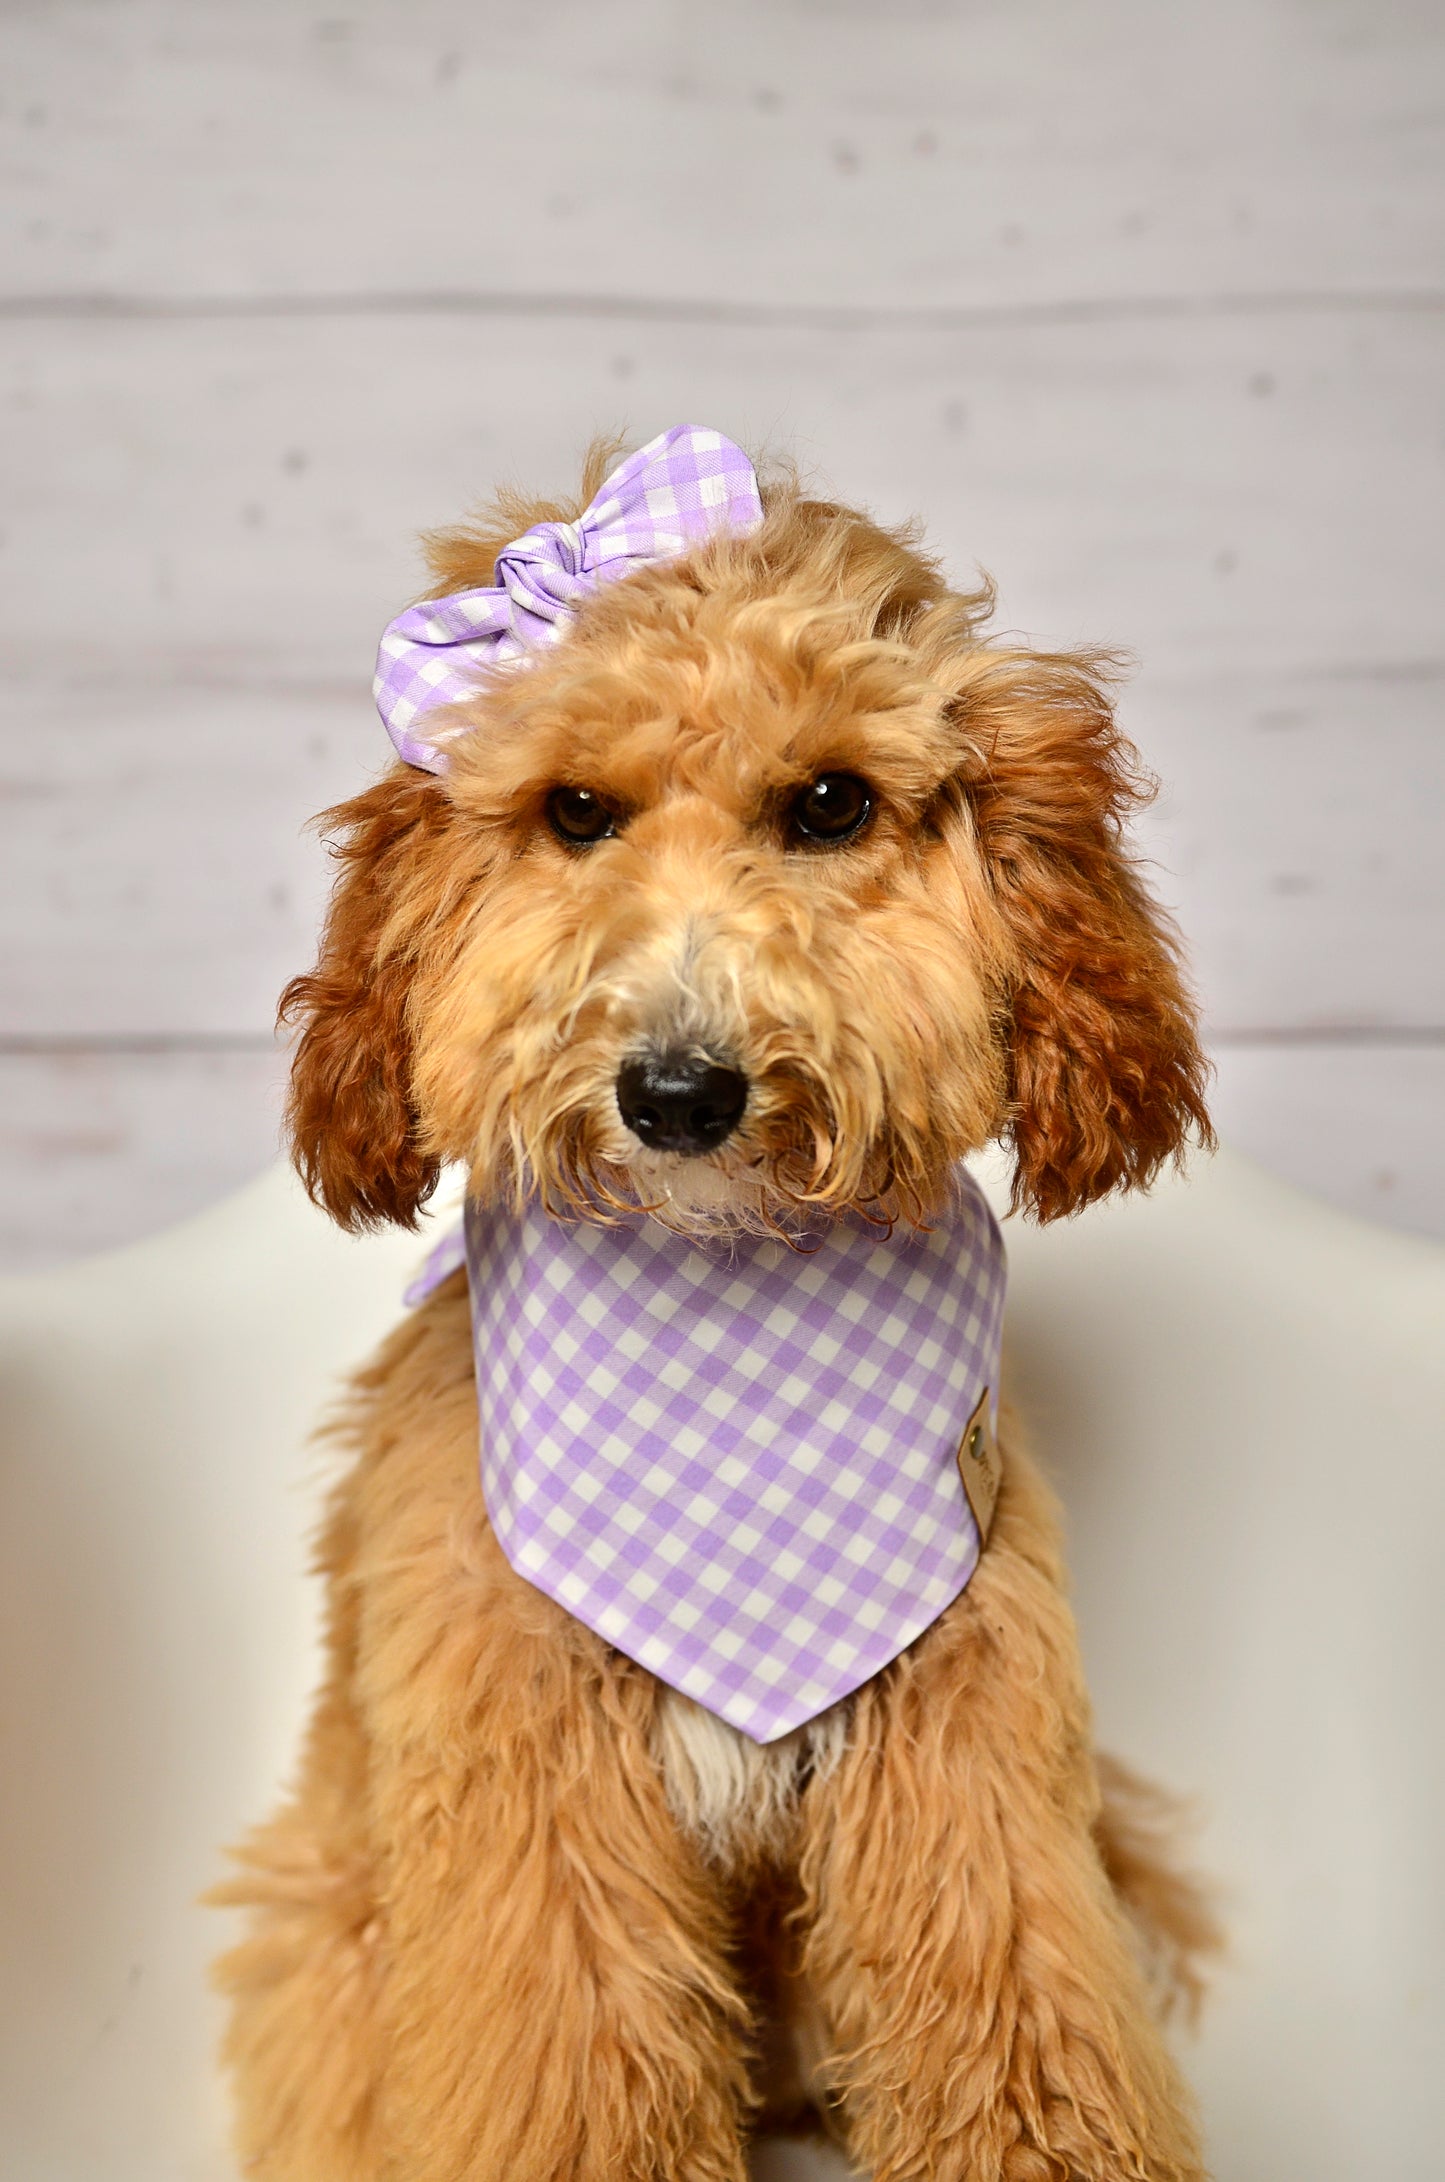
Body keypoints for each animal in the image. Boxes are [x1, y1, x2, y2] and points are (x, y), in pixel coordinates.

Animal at [215, 425, 1222, 2182]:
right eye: (574, 811)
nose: (678, 1091)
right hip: (327, 1927)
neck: (726, 1325)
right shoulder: (533, 1787)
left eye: (828, 803)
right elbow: (569, 2071)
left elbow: (1021, 2013)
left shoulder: (970, 1751)